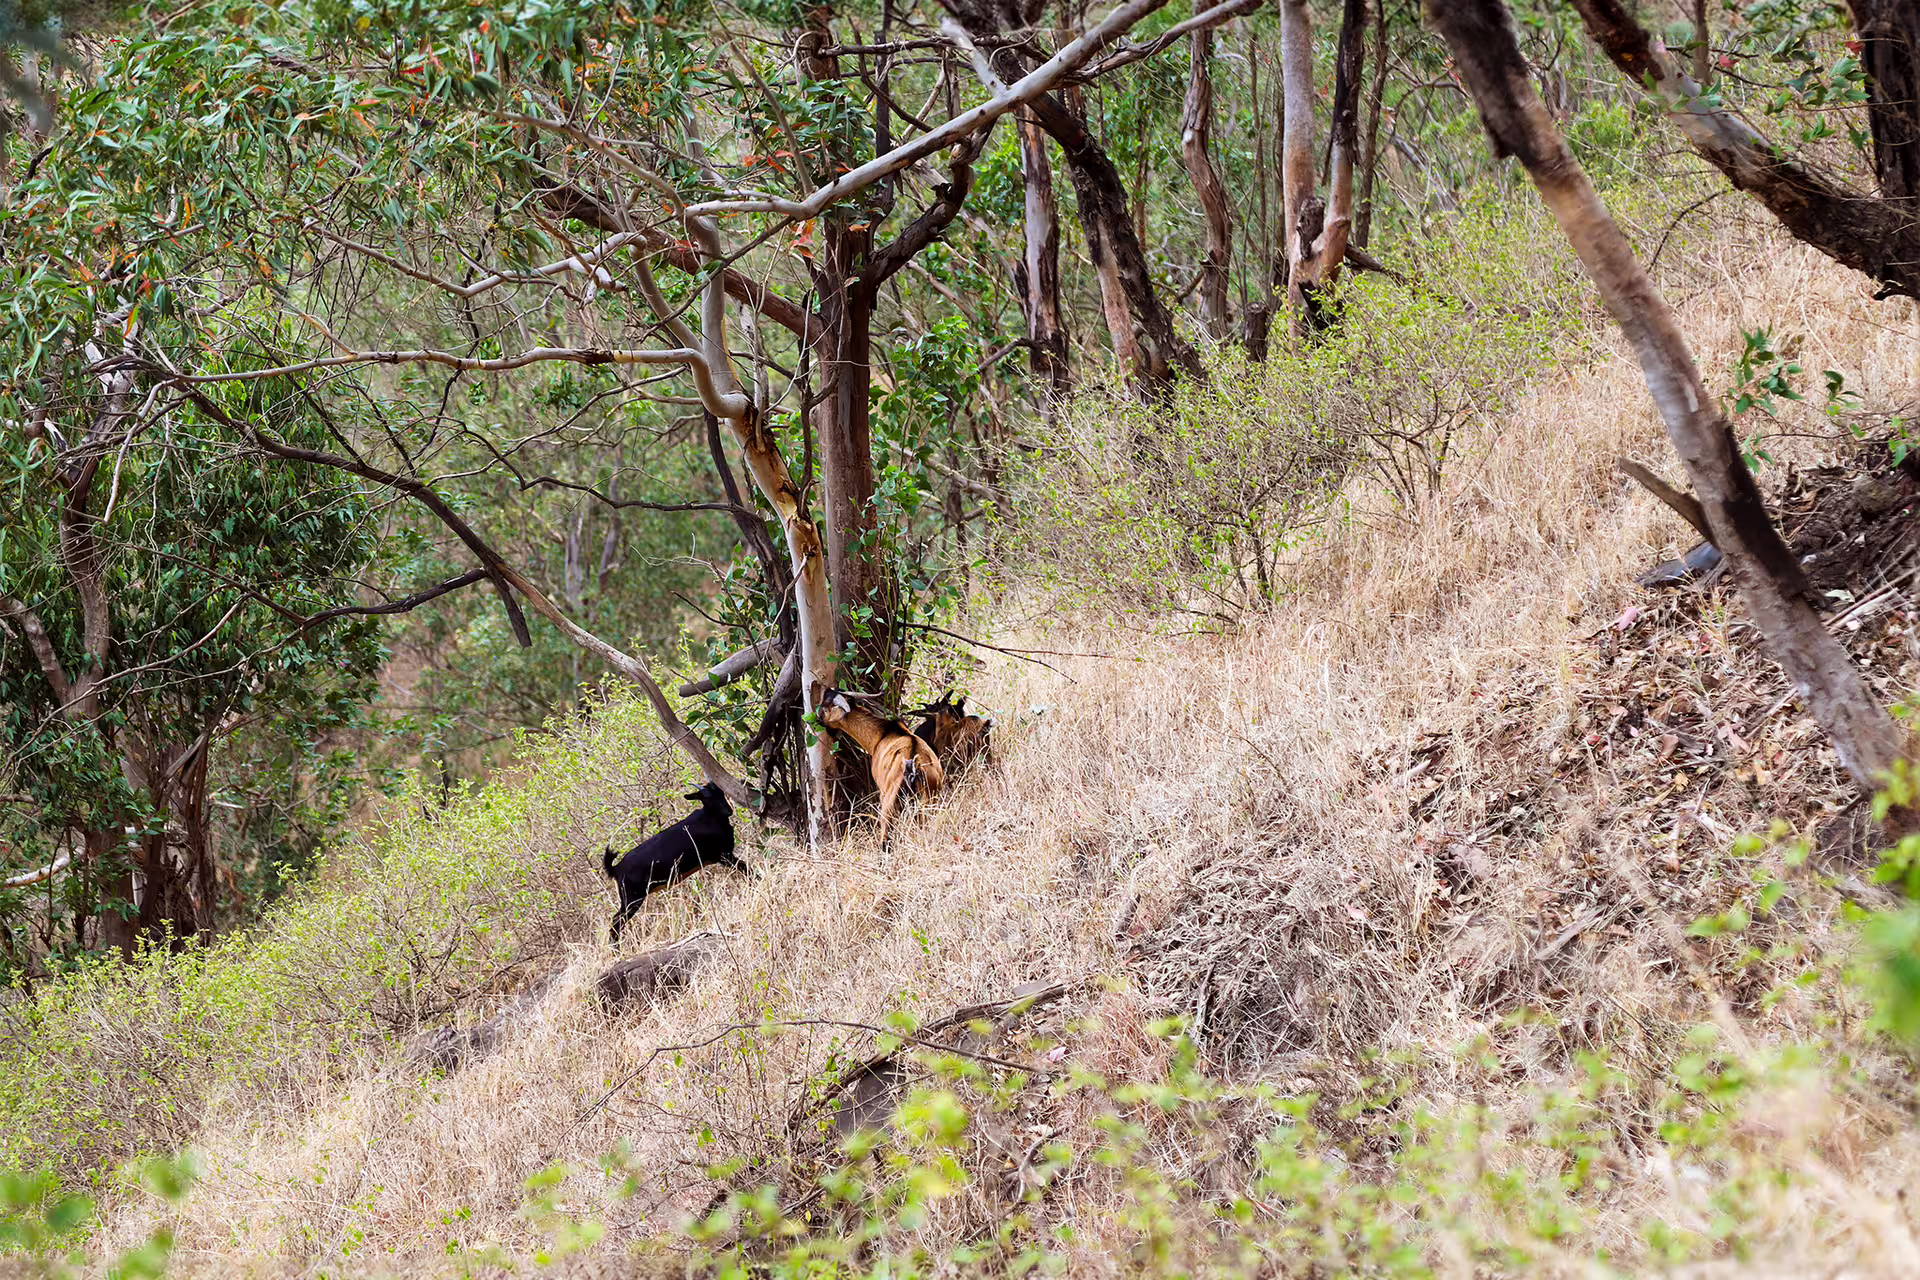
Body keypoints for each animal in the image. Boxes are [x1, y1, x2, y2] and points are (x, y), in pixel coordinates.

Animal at [602, 782, 745, 941]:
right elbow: (748, 870)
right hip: (632, 897)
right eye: (706, 797)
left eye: (721, 792)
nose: (729, 811)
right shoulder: (723, 856)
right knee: (616, 922)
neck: (710, 818)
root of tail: (616, 868)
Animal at [817, 690, 945, 847]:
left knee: (885, 839)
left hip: (889, 804)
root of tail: (914, 765)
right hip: (929, 801)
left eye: (825, 705)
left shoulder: (882, 791)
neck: (880, 736)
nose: (817, 719)